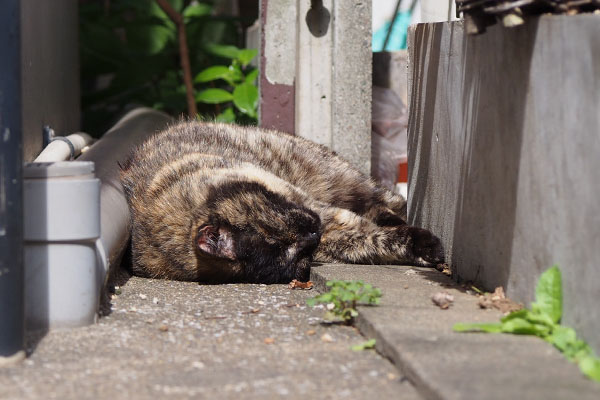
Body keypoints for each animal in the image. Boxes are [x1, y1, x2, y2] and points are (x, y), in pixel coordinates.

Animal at [119, 122, 442, 284]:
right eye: (290, 252)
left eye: (272, 225)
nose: (313, 233)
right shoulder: (332, 235)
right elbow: (373, 239)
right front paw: (421, 248)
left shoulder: (311, 204)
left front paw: (425, 245)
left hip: (342, 177)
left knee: (384, 201)